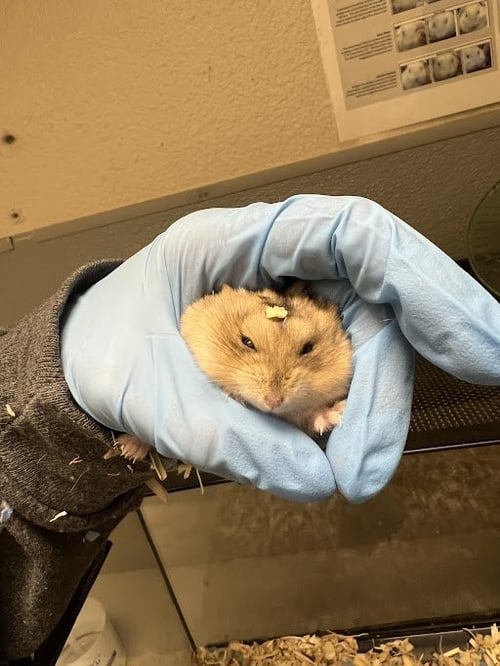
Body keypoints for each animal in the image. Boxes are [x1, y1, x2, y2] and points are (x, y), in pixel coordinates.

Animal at [118, 284, 353, 462]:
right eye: (247, 342)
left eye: (308, 348)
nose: (273, 402)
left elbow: (312, 416)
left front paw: (337, 412)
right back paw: (128, 451)